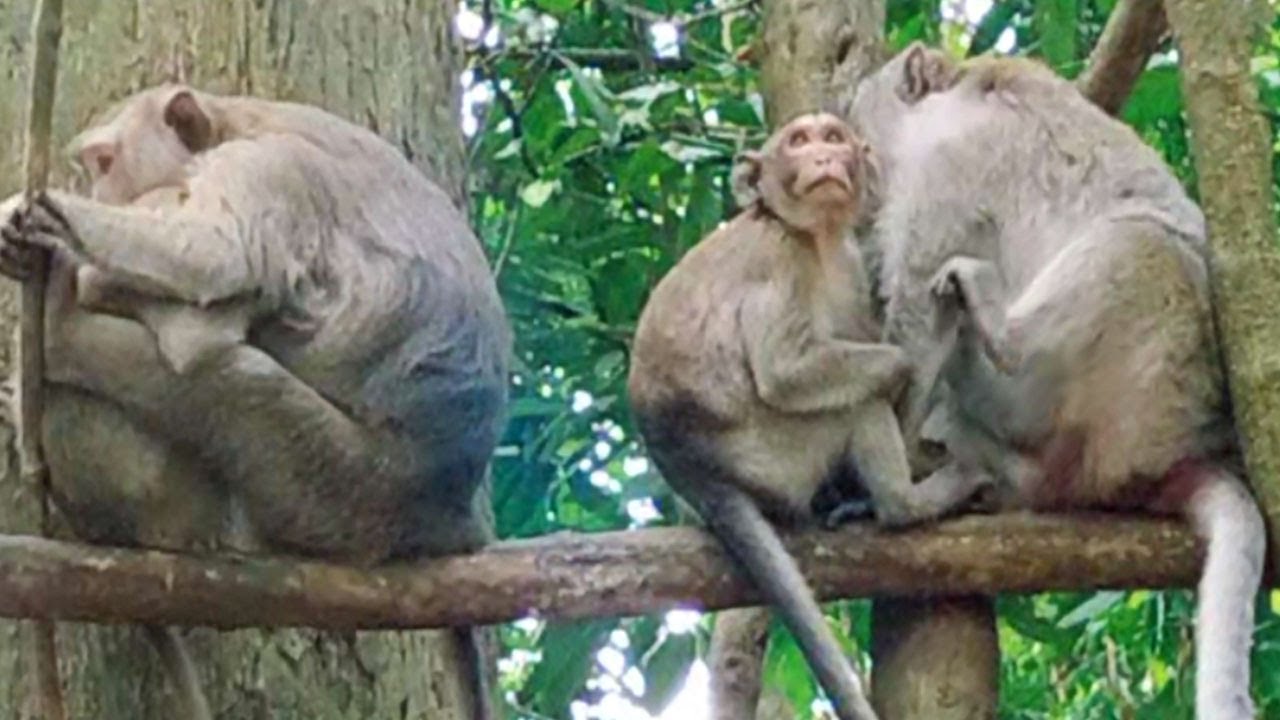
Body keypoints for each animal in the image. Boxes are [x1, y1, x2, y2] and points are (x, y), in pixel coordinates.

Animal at [0, 84, 510, 720]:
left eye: (104, 163)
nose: (96, 192)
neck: (233, 123)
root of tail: (448, 506)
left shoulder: (264, 170)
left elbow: (218, 256)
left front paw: (50, 220)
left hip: (336, 478)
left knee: (214, 362)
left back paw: (62, 330)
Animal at [628, 113, 990, 720]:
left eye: (833, 137)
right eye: (799, 142)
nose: (823, 158)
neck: (815, 237)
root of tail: (694, 473)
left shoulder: (845, 262)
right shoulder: (781, 257)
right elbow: (785, 370)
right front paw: (903, 366)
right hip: (777, 455)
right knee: (852, 404)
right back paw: (905, 503)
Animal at [848, 43, 1266, 719]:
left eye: (856, 132)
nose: (853, 174)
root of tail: (1172, 456)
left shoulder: (947, 168)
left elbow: (913, 313)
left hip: (1140, 392)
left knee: (1142, 244)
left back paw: (999, 343)